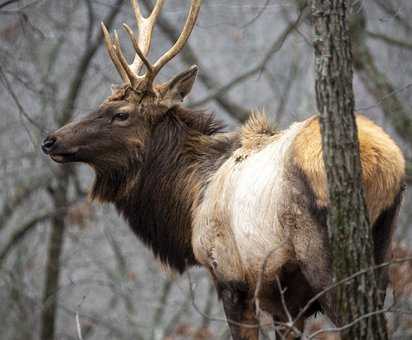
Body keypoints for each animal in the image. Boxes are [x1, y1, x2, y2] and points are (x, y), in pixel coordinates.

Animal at [41, 1, 406, 338]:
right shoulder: (287, 302)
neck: (190, 200)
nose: (50, 140)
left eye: (121, 113)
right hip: (381, 251)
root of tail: (384, 163)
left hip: (321, 255)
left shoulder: (231, 278)